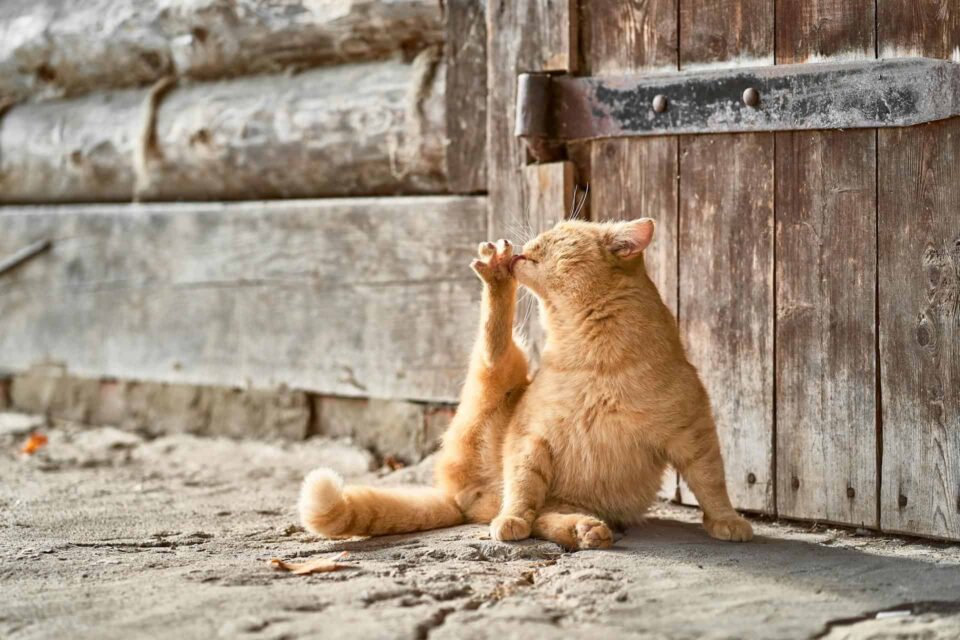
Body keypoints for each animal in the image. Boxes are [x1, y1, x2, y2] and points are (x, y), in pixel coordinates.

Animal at [300, 220, 752, 552]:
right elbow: (521, 488)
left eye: (560, 232)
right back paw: (496, 273)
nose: (532, 239)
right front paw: (511, 518)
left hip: (568, 492)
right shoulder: (530, 439)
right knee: (495, 349)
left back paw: (585, 531)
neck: (592, 359)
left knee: (545, 518)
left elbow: (712, 483)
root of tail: (459, 501)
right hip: (504, 376)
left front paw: (727, 521)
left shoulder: (694, 433)